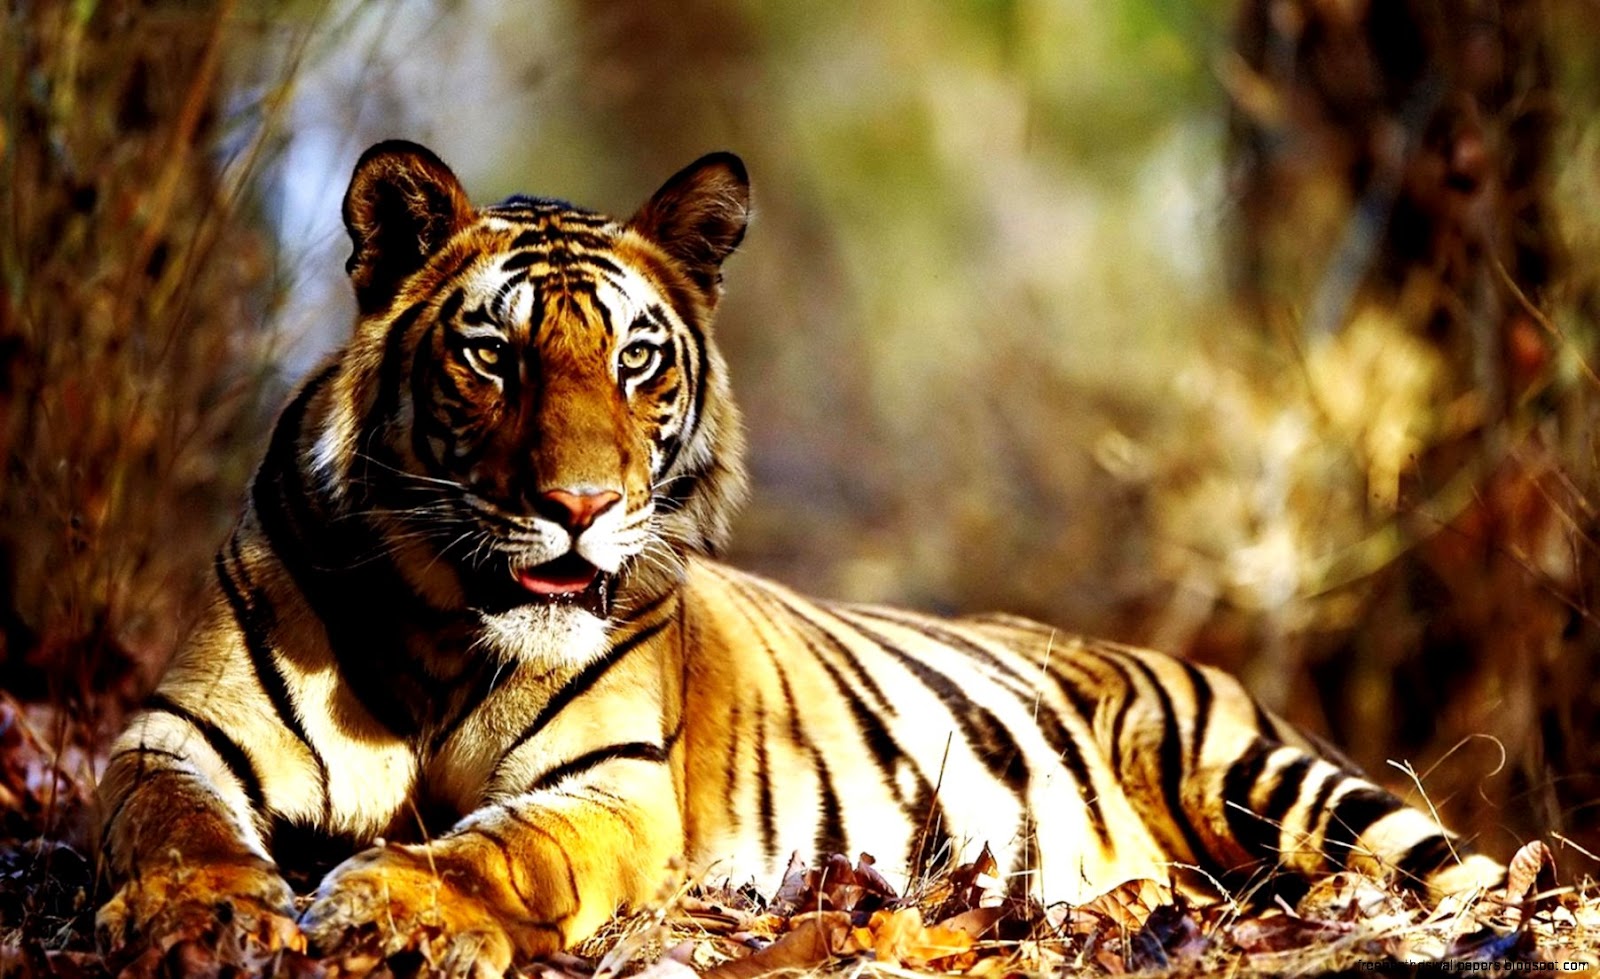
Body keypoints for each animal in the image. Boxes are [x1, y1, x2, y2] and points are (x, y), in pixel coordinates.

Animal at [96, 140, 1506, 974]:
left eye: (636, 358)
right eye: (491, 354)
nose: (580, 504)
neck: (442, 626)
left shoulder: (607, 787)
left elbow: (490, 849)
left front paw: (382, 904)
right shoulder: (173, 737)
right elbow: (170, 826)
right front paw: (199, 914)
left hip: (1279, 784)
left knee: (1472, 875)